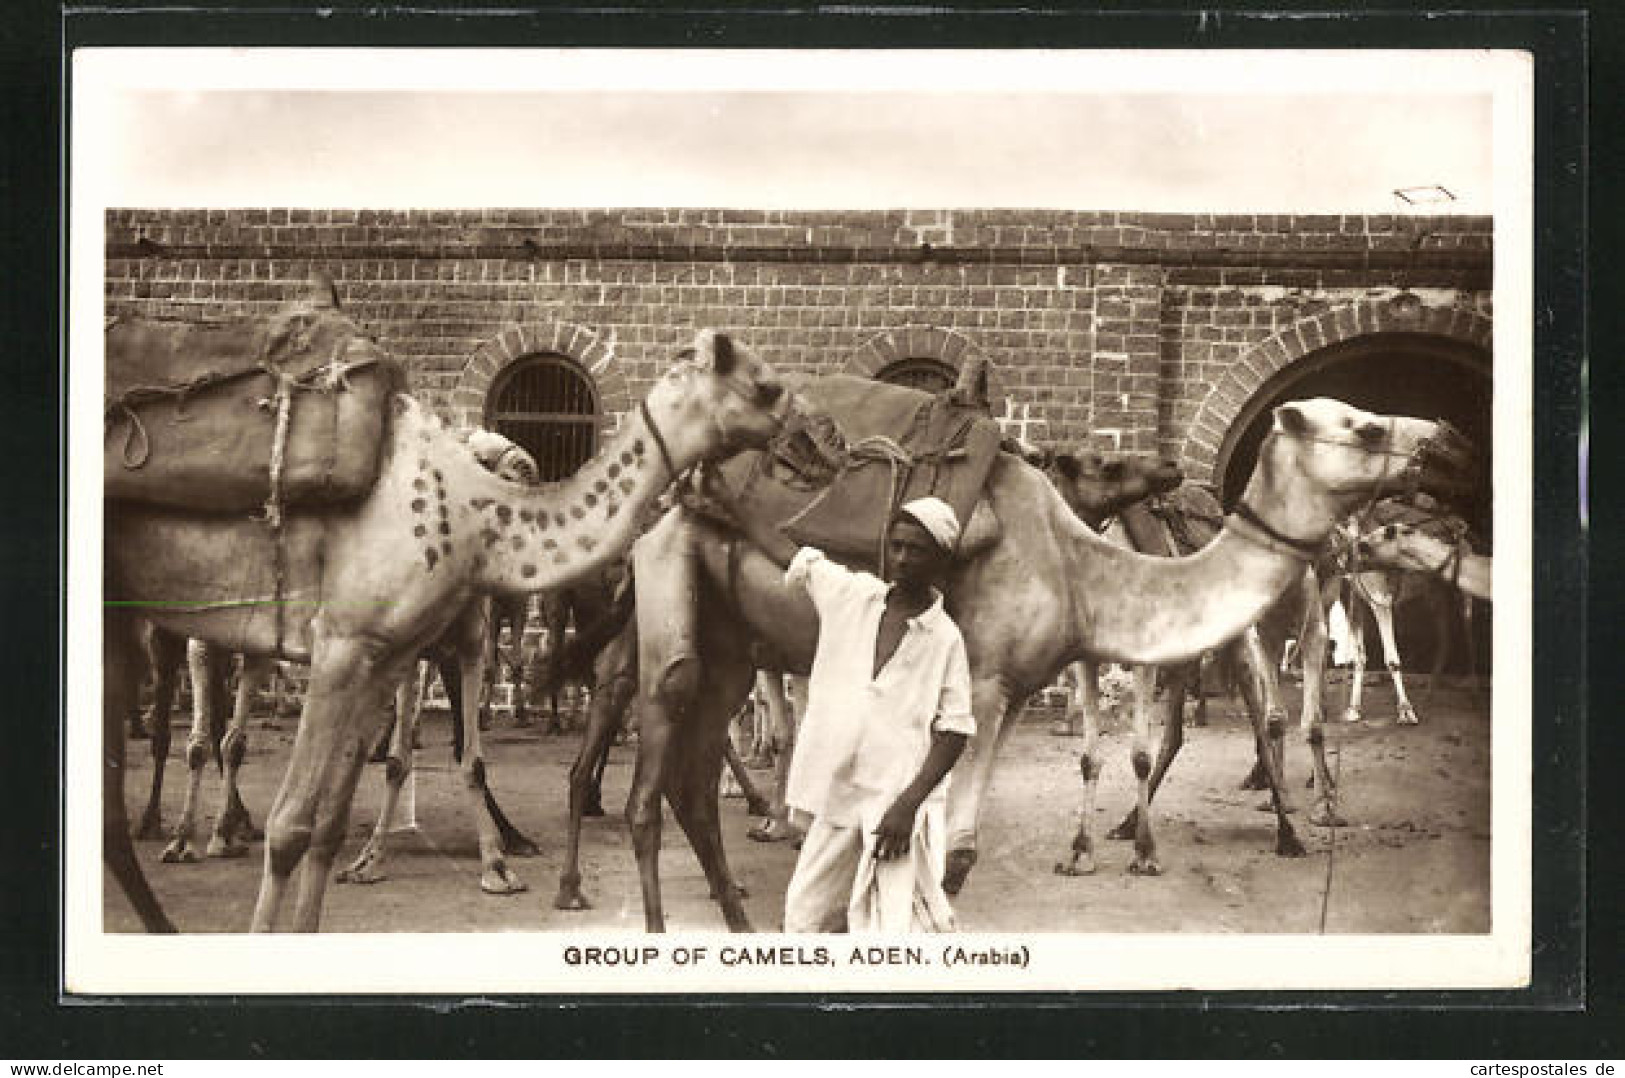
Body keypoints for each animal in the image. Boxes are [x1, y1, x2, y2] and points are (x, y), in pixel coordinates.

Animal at [101, 279, 799, 936]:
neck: (470, 513)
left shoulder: (386, 655)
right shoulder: (339, 645)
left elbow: (328, 826)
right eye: (766, 387)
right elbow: (291, 827)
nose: (809, 442)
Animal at [585, 391, 1475, 930]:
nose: (1454, 442)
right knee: (650, 779)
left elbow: (959, 848)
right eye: (1363, 426)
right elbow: (941, 846)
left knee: (693, 783)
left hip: (732, 644)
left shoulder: (1009, 689)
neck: (1078, 567)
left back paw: (740, 919)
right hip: (670, 607)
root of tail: (670, 505)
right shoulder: (978, 681)